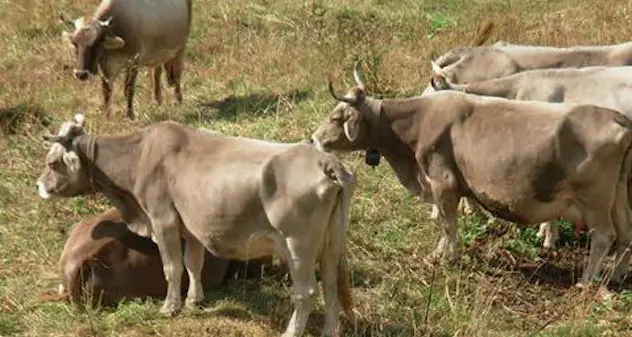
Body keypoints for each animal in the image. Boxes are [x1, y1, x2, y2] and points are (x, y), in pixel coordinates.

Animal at [59, 0, 193, 119]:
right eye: (74, 43)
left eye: (96, 43)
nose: (81, 74)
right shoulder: (106, 65)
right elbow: (106, 90)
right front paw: (106, 115)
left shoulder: (134, 62)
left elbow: (129, 89)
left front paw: (130, 115)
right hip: (157, 54)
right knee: (157, 73)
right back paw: (157, 100)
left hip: (181, 47)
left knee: (177, 73)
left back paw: (178, 100)